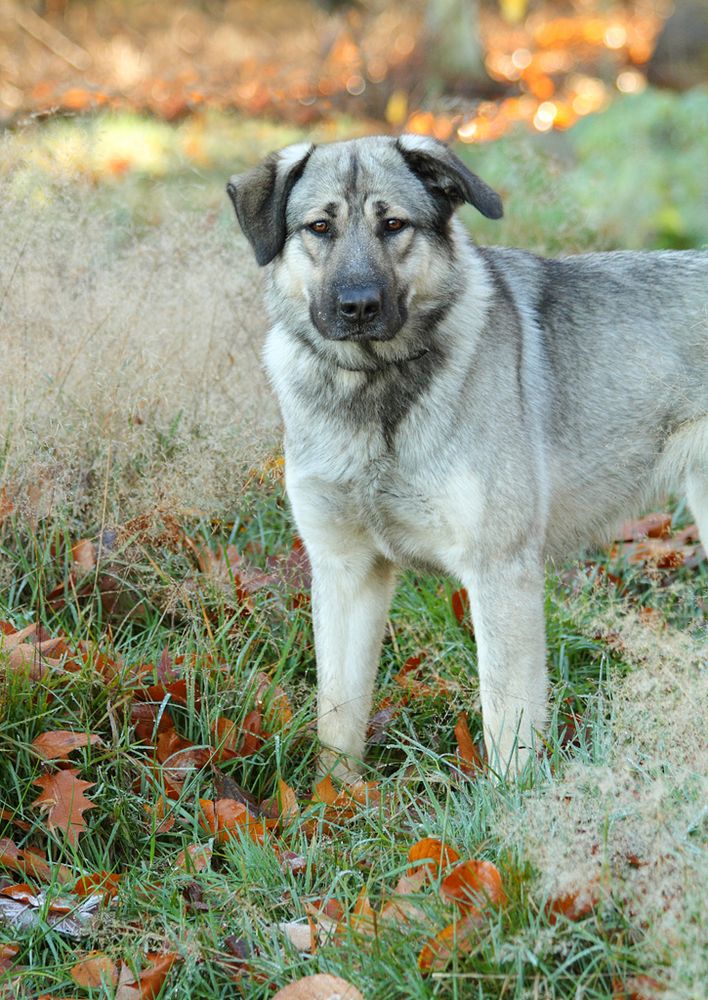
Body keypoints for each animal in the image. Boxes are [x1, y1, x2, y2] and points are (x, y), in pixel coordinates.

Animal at [228, 133, 708, 776]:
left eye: (394, 224)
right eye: (320, 227)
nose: (358, 305)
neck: (378, 393)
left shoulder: (500, 572)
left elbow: (507, 721)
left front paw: (513, 801)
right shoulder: (346, 571)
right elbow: (338, 718)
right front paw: (338, 798)